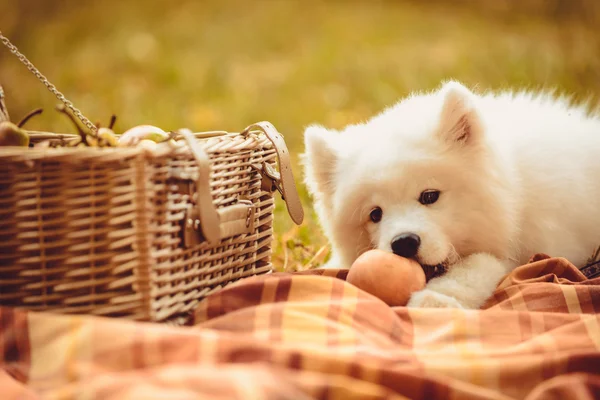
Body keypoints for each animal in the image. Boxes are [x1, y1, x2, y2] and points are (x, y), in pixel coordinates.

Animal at [302, 79, 600, 310]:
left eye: (429, 196)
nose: (404, 243)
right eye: (375, 214)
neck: (514, 189)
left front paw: (435, 299)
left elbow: (479, 265)